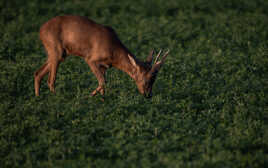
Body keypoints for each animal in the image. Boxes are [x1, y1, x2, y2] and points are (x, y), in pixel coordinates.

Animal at [33, 15, 168, 98]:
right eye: (147, 78)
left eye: (154, 78)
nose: (148, 95)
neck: (114, 52)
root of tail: (40, 30)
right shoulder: (91, 59)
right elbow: (103, 81)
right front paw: (89, 96)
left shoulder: (104, 66)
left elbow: (103, 83)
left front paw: (102, 100)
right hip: (56, 50)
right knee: (50, 80)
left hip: (58, 53)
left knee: (38, 73)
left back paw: (38, 97)